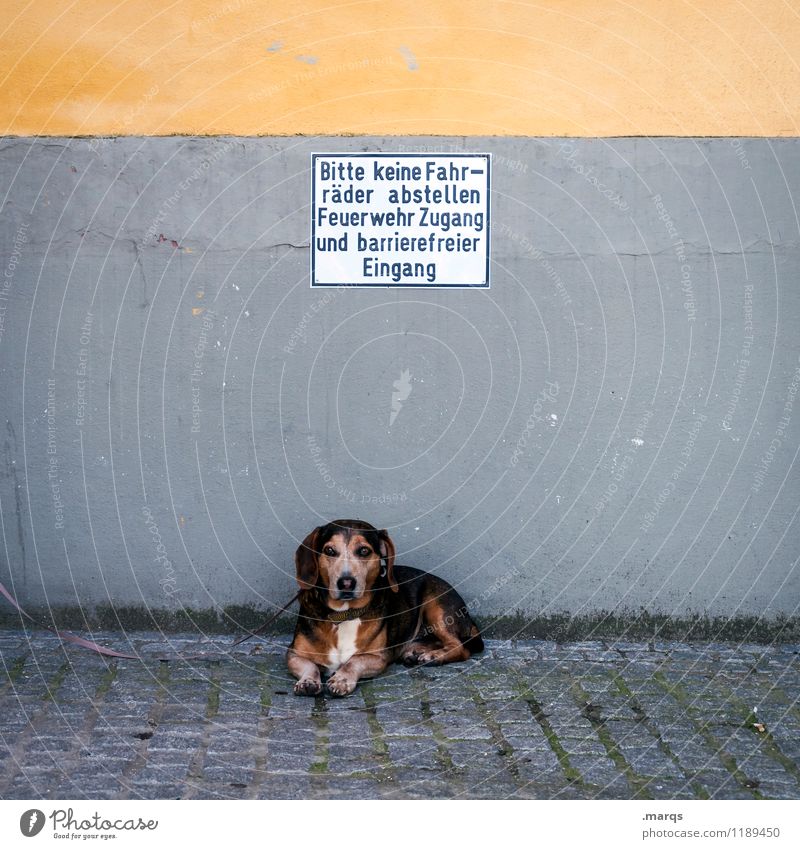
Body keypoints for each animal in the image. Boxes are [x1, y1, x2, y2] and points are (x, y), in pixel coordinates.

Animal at [290, 516, 484, 696]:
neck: (344, 614)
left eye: (364, 551)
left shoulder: (378, 658)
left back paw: (433, 656)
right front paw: (308, 680)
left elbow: (354, 661)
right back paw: (416, 652)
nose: (346, 583)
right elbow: (310, 666)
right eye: (329, 550)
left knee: (460, 647)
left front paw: (341, 679)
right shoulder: (293, 654)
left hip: (435, 606)